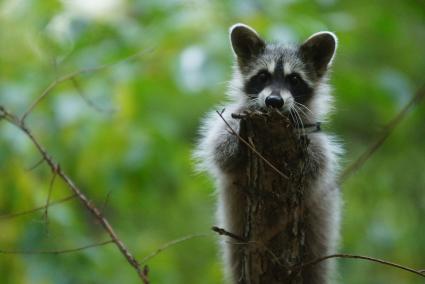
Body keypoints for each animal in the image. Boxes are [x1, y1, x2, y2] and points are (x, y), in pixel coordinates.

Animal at [194, 24, 342, 284]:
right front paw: (237, 143)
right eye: (263, 76)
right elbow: (220, 151)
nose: (274, 101)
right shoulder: (231, 121)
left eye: (294, 79)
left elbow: (317, 164)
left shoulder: (314, 137)